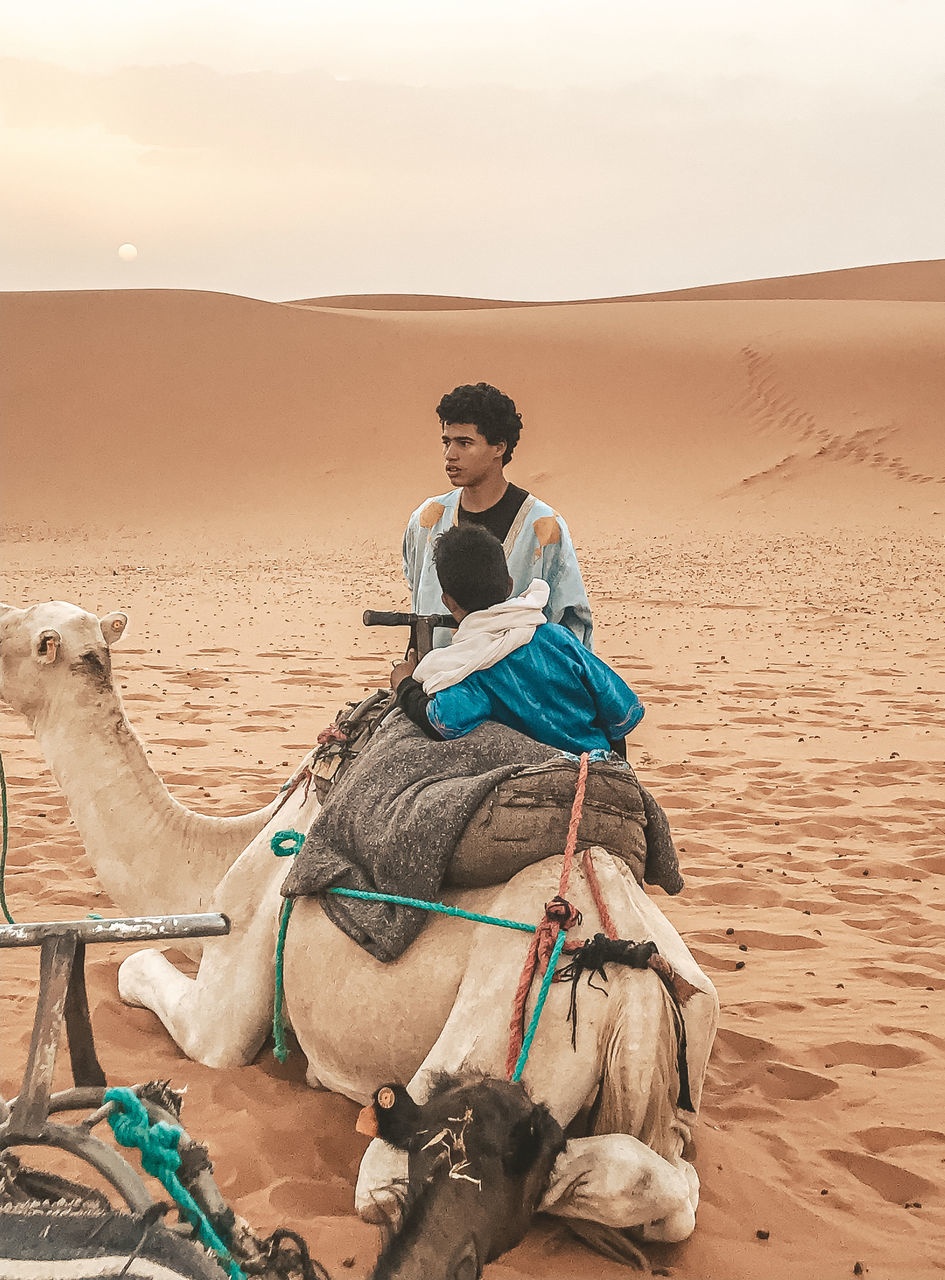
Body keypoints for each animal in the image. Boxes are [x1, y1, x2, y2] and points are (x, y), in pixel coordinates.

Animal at [0, 604, 717, 1244]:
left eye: (6, 625)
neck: (220, 849)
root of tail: (631, 980)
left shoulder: (228, 990)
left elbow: (137, 968)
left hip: (516, 1027)